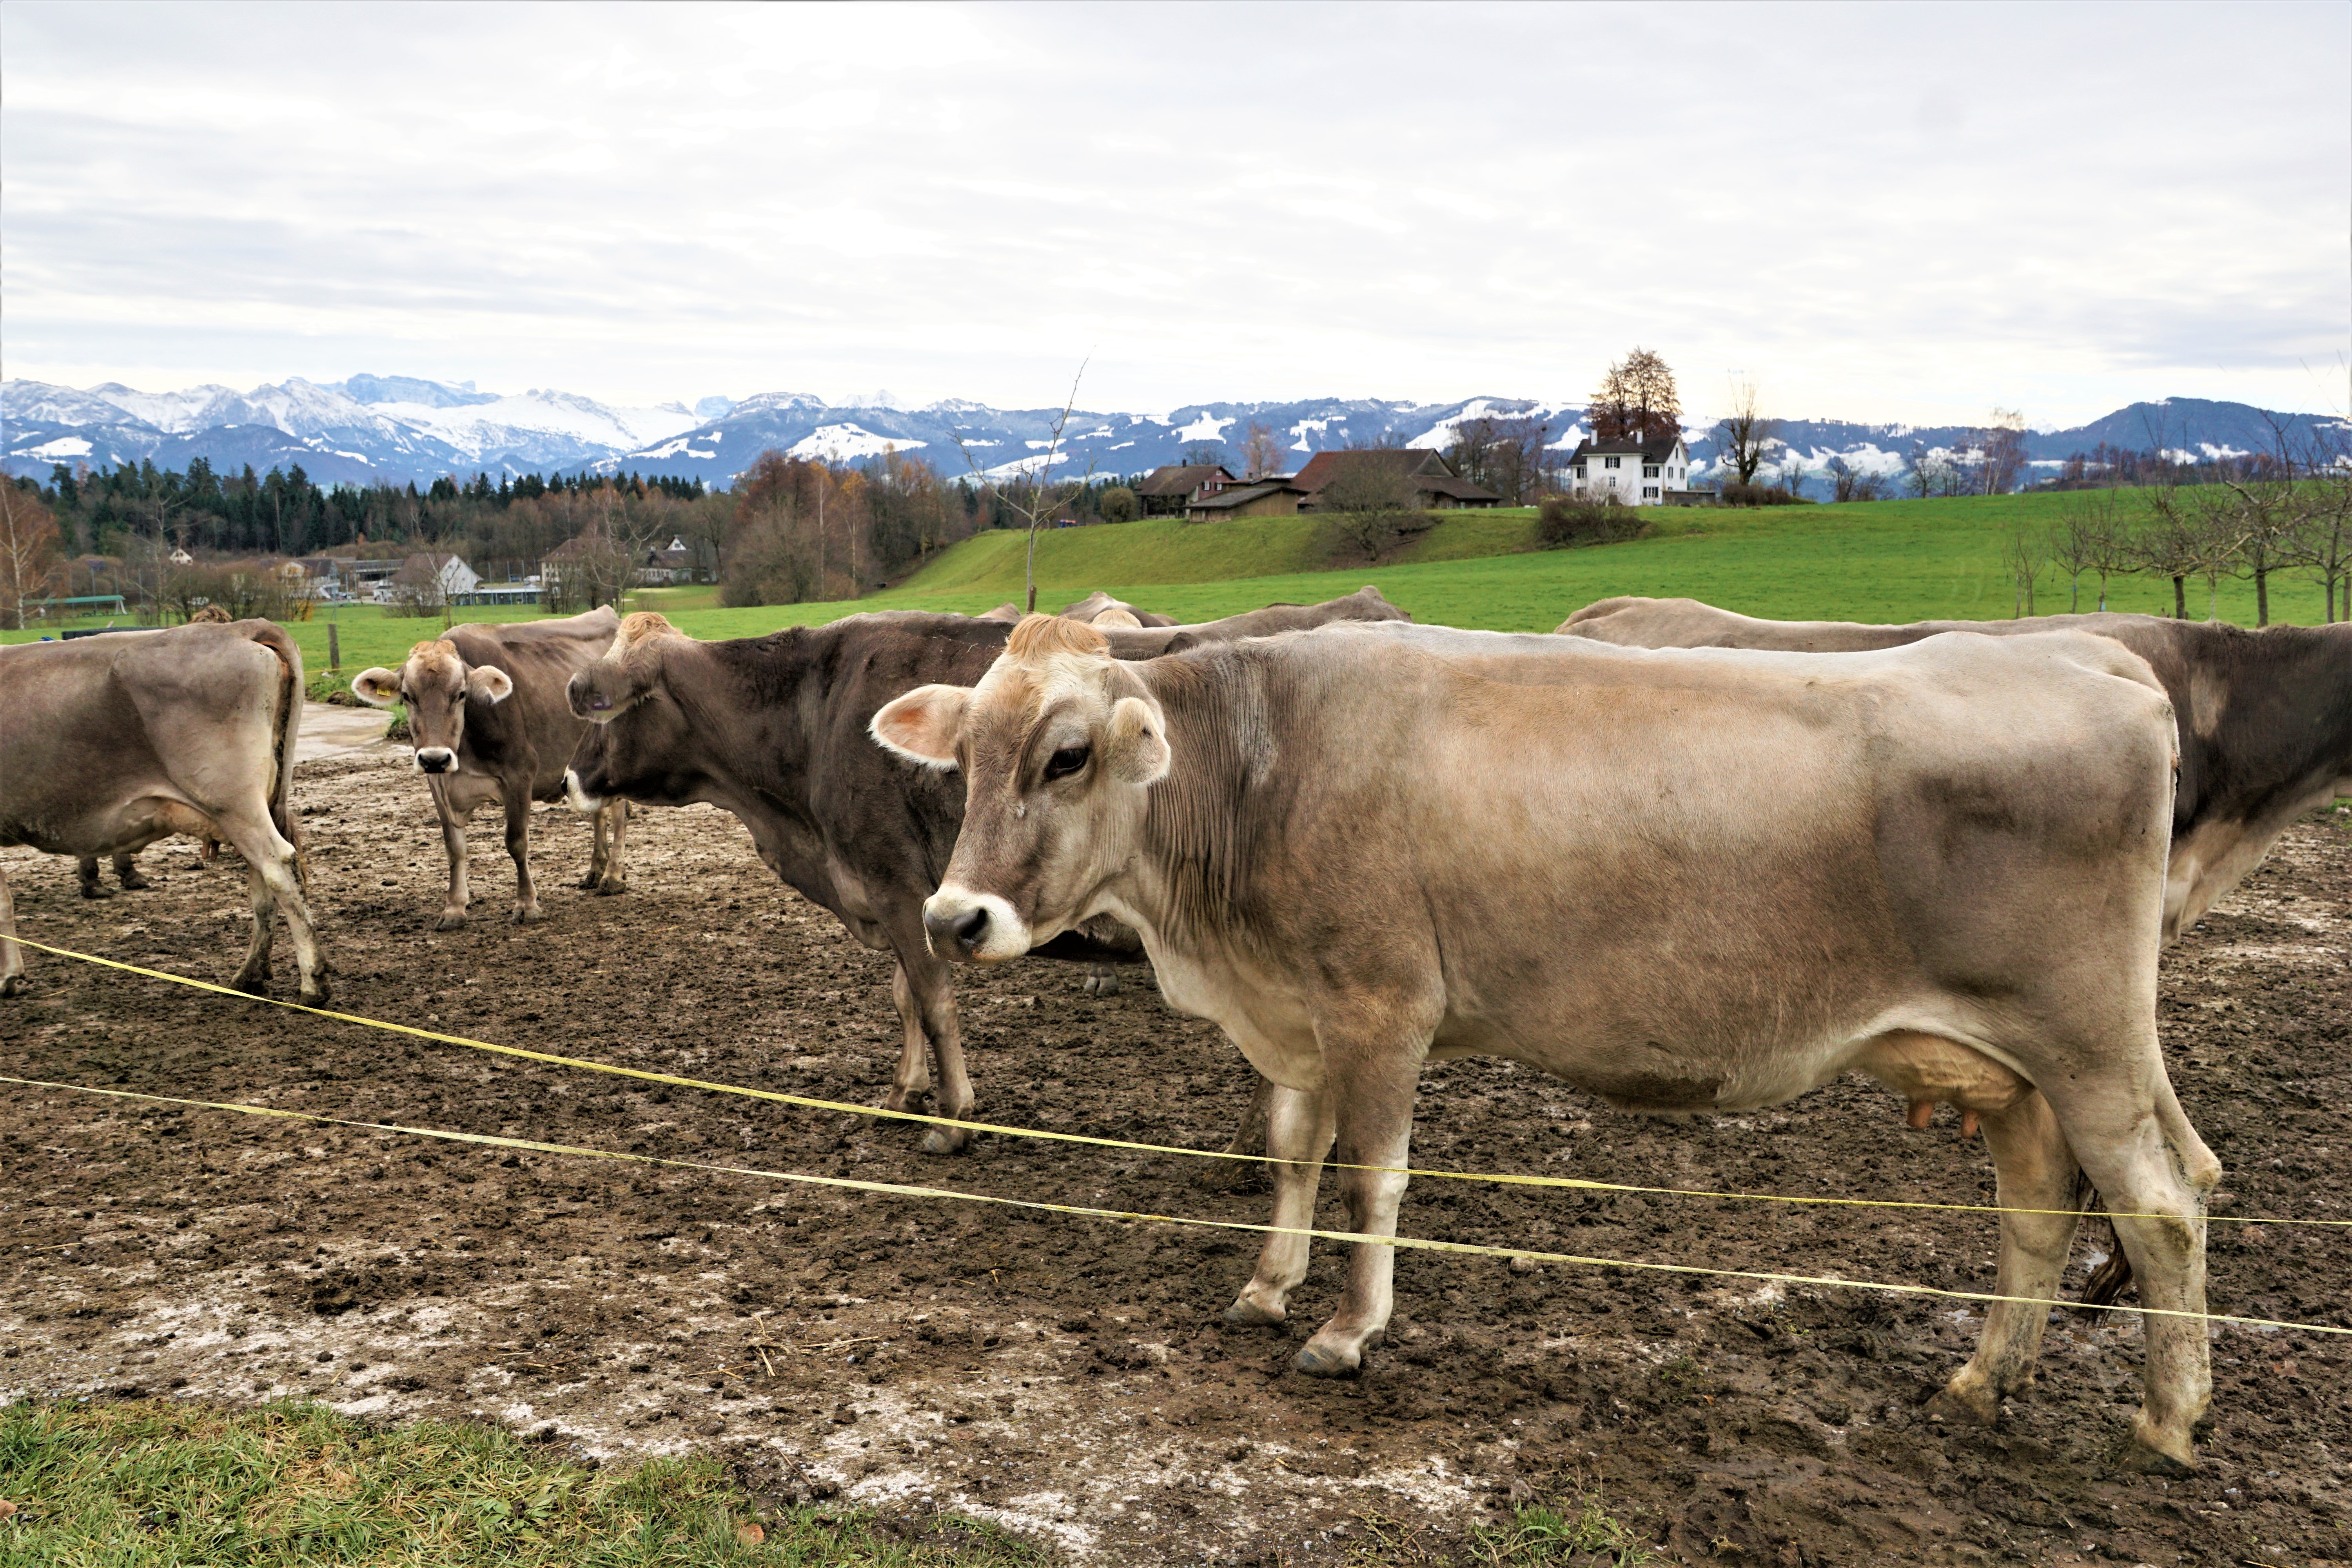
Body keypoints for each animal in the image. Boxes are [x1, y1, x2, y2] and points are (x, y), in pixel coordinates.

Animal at [2, 621, 332, 1001]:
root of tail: (239, 628)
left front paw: (9, 978)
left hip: (234, 803)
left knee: (280, 868)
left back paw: (313, 983)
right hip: (256, 804)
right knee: (263, 884)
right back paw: (250, 975)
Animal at [350, 606, 635, 931]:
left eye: (461, 694)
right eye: (408, 697)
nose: (435, 758)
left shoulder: (520, 774)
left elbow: (517, 842)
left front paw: (527, 905)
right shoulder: (439, 785)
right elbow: (454, 848)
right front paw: (454, 909)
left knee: (619, 814)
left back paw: (613, 877)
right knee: (599, 812)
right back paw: (596, 871)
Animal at [564, 588, 1411, 1152]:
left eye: (603, 706)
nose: (571, 777)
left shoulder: (897, 885)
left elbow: (933, 1000)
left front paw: (952, 1117)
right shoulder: (909, 894)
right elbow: (904, 997)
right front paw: (904, 1091)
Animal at [884, 611, 2220, 1476]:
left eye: (1066, 756)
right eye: (965, 760)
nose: (954, 919)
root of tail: (2086, 656)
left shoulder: (1382, 1006)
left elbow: (1372, 1176)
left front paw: (1345, 1331)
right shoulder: (1300, 1020)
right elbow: (1295, 1154)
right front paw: (1266, 1288)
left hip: (2090, 1045)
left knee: (2162, 1208)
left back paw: (2169, 1421)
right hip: (2013, 1070)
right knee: (2037, 1205)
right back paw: (1985, 1378)